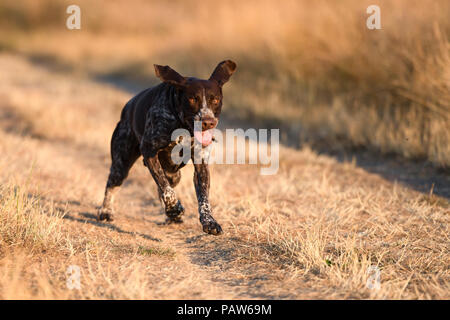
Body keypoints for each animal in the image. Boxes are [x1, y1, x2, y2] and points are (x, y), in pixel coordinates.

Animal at [97, 60, 237, 235]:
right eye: (192, 99)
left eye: (216, 100)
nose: (208, 122)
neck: (181, 125)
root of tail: (127, 108)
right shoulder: (149, 151)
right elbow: (166, 188)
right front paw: (175, 208)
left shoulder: (201, 164)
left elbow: (203, 197)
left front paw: (209, 221)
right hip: (121, 163)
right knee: (112, 184)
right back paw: (106, 211)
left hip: (174, 174)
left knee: (166, 185)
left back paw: (171, 216)